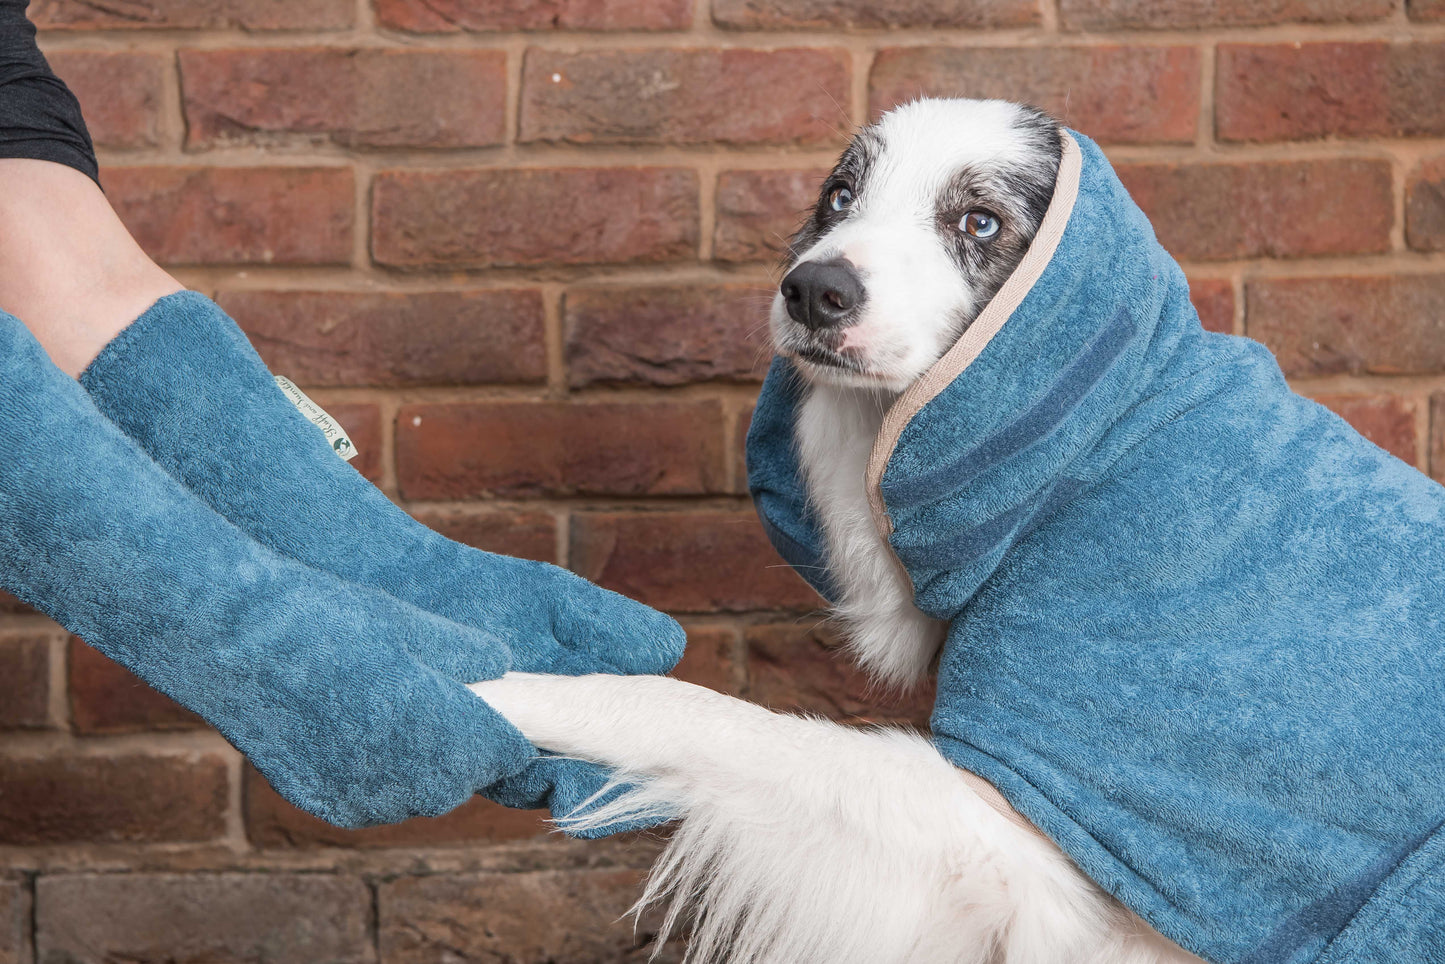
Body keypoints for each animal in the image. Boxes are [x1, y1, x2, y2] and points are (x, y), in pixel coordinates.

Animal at [468, 99, 1202, 964]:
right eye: (841, 197)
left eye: (979, 222)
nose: (814, 290)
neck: (1088, 453)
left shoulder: (1032, 851)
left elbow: (709, 717)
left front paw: (505, 691)